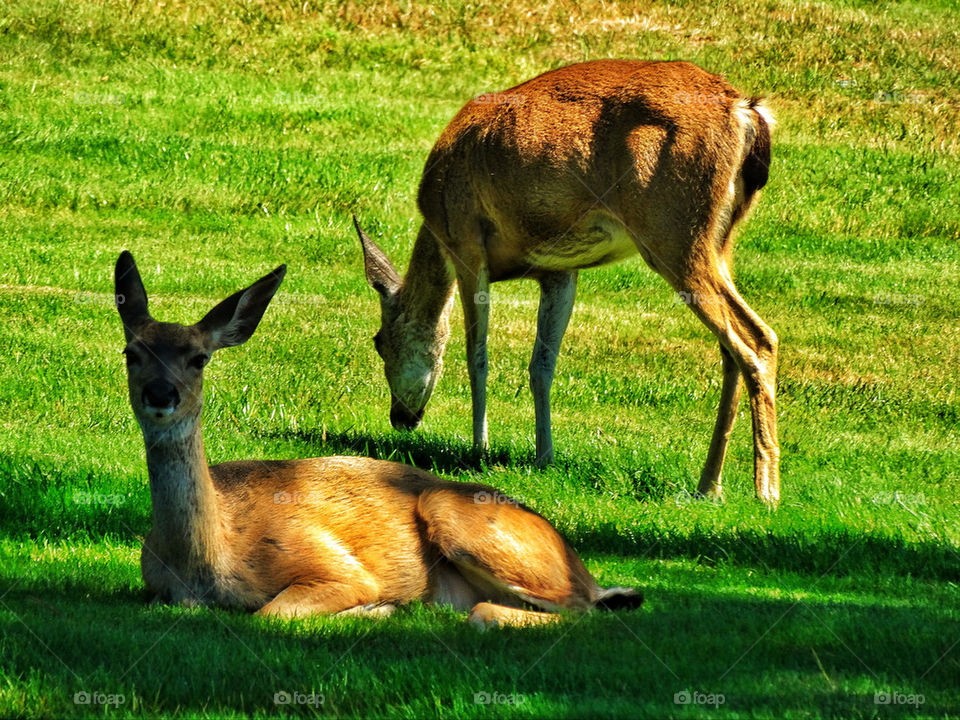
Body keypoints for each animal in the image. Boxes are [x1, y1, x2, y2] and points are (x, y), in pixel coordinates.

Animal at [114, 252, 644, 624]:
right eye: (130, 352)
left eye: (199, 357)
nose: (161, 393)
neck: (209, 559)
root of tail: (578, 563)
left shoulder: (331, 563)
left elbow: (273, 612)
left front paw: (377, 608)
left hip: (455, 514)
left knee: (576, 609)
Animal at [352, 57, 780, 506]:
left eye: (378, 341)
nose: (399, 418)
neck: (436, 230)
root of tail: (747, 111)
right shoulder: (559, 270)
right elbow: (542, 364)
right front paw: (544, 455)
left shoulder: (467, 243)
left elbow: (477, 356)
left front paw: (478, 449)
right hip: (721, 238)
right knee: (731, 349)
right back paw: (709, 485)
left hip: (674, 231)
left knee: (759, 338)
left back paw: (766, 489)